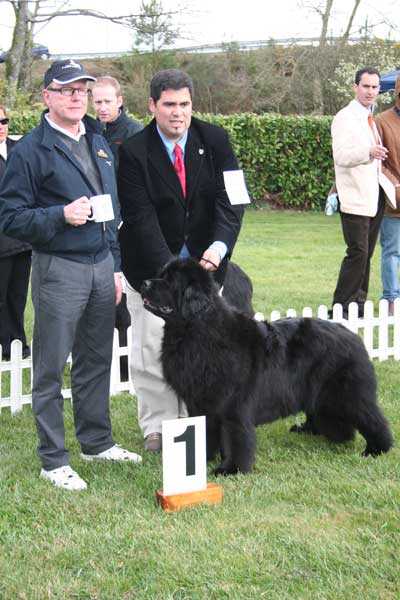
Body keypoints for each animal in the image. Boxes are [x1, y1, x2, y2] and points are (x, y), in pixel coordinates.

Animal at [141, 258, 394, 474]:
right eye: (160, 274)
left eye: (170, 281)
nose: (143, 283)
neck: (196, 332)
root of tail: (352, 334)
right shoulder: (201, 402)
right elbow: (205, 431)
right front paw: (201, 459)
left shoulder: (233, 405)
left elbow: (235, 436)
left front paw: (231, 469)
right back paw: (311, 431)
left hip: (348, 394)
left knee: (372, 418)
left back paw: (377, 449)